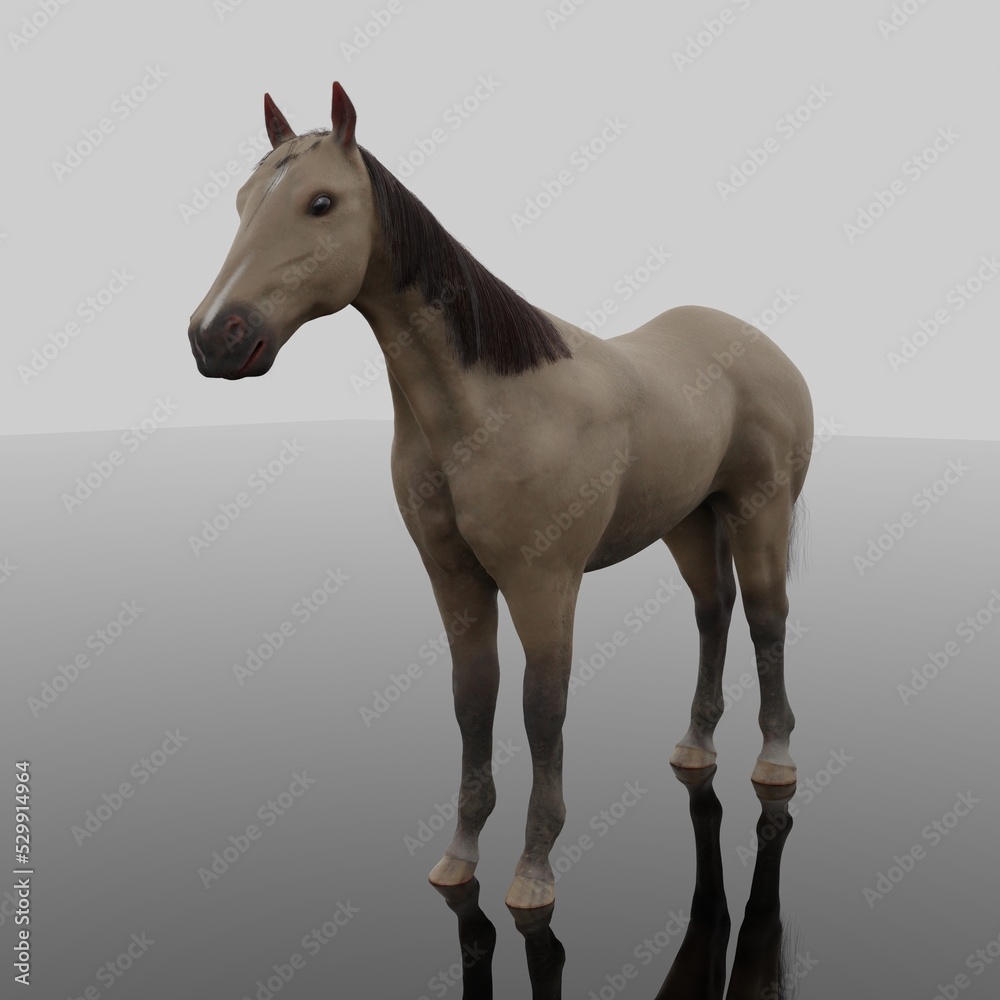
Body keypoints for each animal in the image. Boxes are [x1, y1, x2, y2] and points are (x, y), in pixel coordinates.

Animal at [188, 82, 813, 910]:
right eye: (241, 201)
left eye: (321, 202)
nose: (215, 337)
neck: (490, 404)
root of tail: (762, 346)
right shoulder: (455, 580)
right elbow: (472, 699)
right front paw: (460, 857)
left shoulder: (542, 582)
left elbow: (541, 709)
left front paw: (533, 869)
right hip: (686, 522)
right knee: (714, 613)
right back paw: (694, 747)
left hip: (759, 513)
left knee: (769, 620)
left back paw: (774, 760)